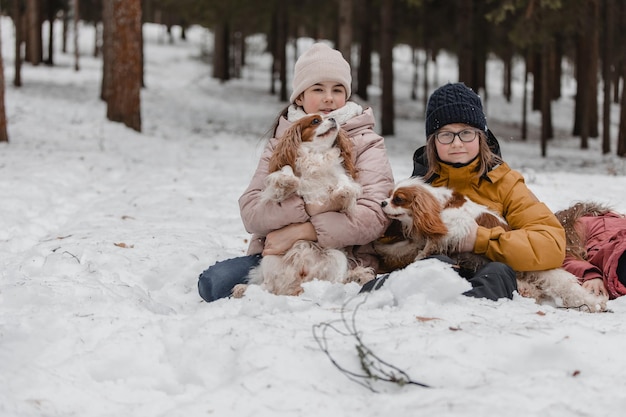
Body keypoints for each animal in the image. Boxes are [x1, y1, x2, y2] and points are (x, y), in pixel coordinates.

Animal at [372, 176, 608, 312]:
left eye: (398, 199)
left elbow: (433, 242)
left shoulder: (457, 227)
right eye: (389, 196)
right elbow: (402, 247)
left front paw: (423, 255)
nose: (382, 202)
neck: (439, 206)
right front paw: (380, 247)